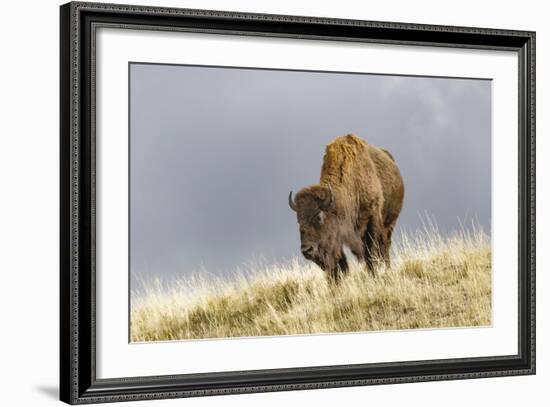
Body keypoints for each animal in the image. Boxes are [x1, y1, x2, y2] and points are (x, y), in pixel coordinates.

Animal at [288, 134, 406, 284]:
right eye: (299, 220)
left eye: (319, 216)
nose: (306, 250)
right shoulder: (337, 235)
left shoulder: (372, 218)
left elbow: (371, 252)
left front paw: (373, 275)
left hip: (390, 223)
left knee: (384, 246)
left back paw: (387, 269)